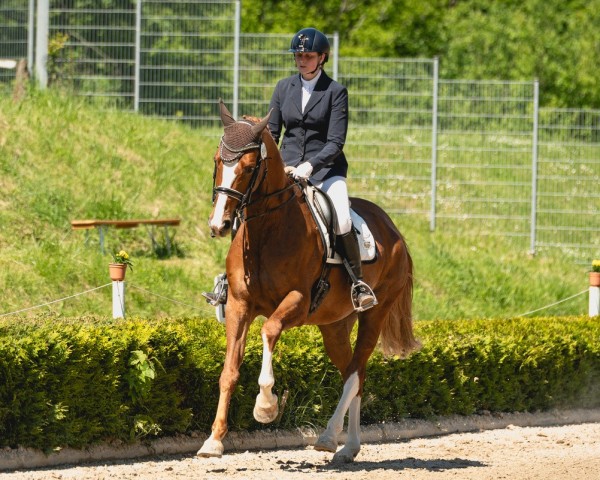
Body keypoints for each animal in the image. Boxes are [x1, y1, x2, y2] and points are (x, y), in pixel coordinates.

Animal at [199, 102, 420, 464]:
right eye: (218, 161)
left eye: (249, 167)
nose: (219, 224)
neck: (267, 231)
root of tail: (393, 229)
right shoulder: (238, 305)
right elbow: (229, 370)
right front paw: (214, 441)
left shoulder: (298, 301)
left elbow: (269, 331)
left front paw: (266, 407)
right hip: (334, 326)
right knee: (355, 375)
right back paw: (349, 447)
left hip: (374, 313)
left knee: (355, 373)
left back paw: (329, 437)